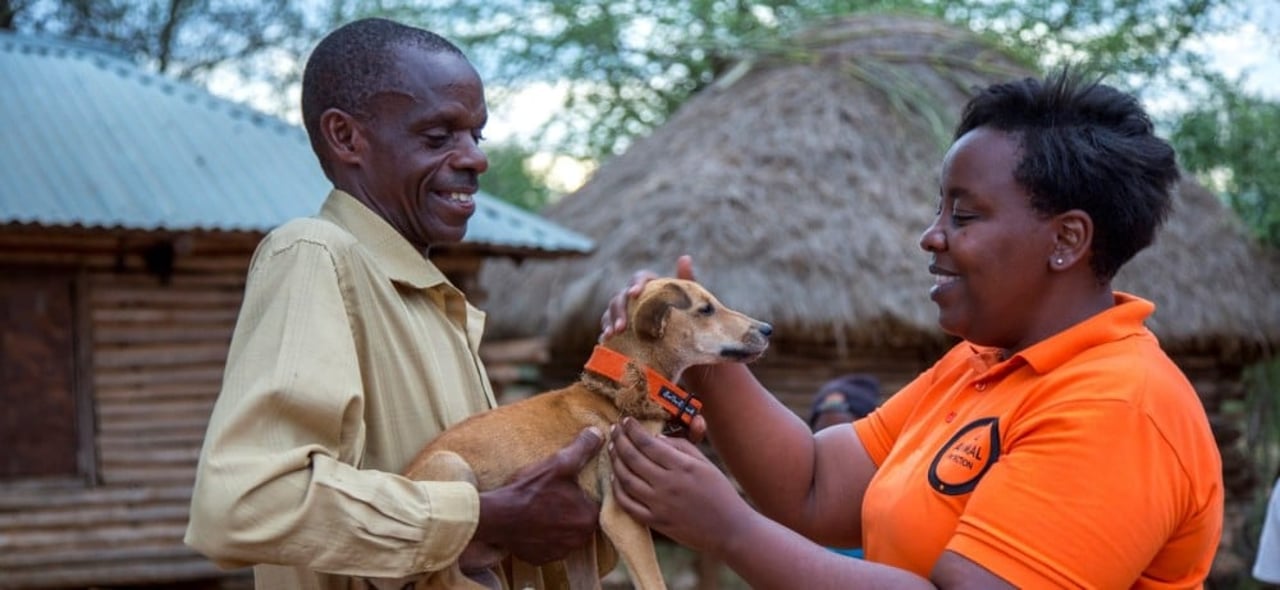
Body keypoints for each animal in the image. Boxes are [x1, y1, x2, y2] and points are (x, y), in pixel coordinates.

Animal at [391, 277, 768, 588]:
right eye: (706, 308)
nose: (768, 328)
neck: (623, 391)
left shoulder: (582, 541)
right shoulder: (620, 517)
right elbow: (654, 582)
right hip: (451, 466)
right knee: (442, 575)